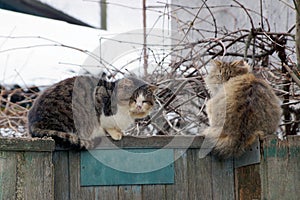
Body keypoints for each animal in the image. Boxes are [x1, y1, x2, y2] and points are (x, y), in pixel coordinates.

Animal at [27, 76, 157, 149]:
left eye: (144, 101)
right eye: (133, 99)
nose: (139, 106)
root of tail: (33, 123)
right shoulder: (100, 99)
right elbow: (107, 124)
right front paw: (116, 133)